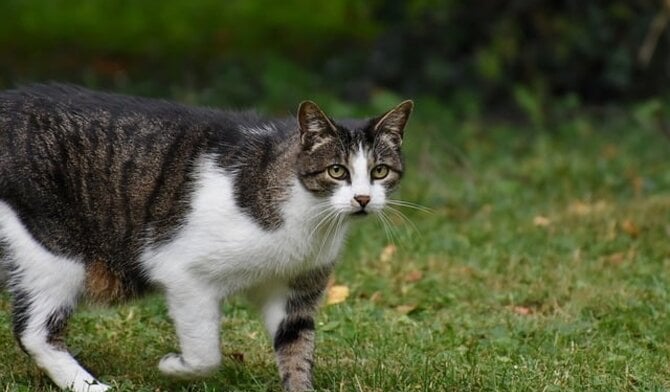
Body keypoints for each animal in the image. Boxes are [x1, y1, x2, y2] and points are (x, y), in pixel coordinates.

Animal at [0, 84, 414, 390]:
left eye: (379, 171)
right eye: (336, 171)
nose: (363, 199)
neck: (309, 218)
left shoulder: (294, 291)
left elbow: (297, 351)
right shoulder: (182, 273)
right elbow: (206, 355)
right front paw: (172, 367)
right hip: (54, 250)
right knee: (34, 332)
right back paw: (91, 386)